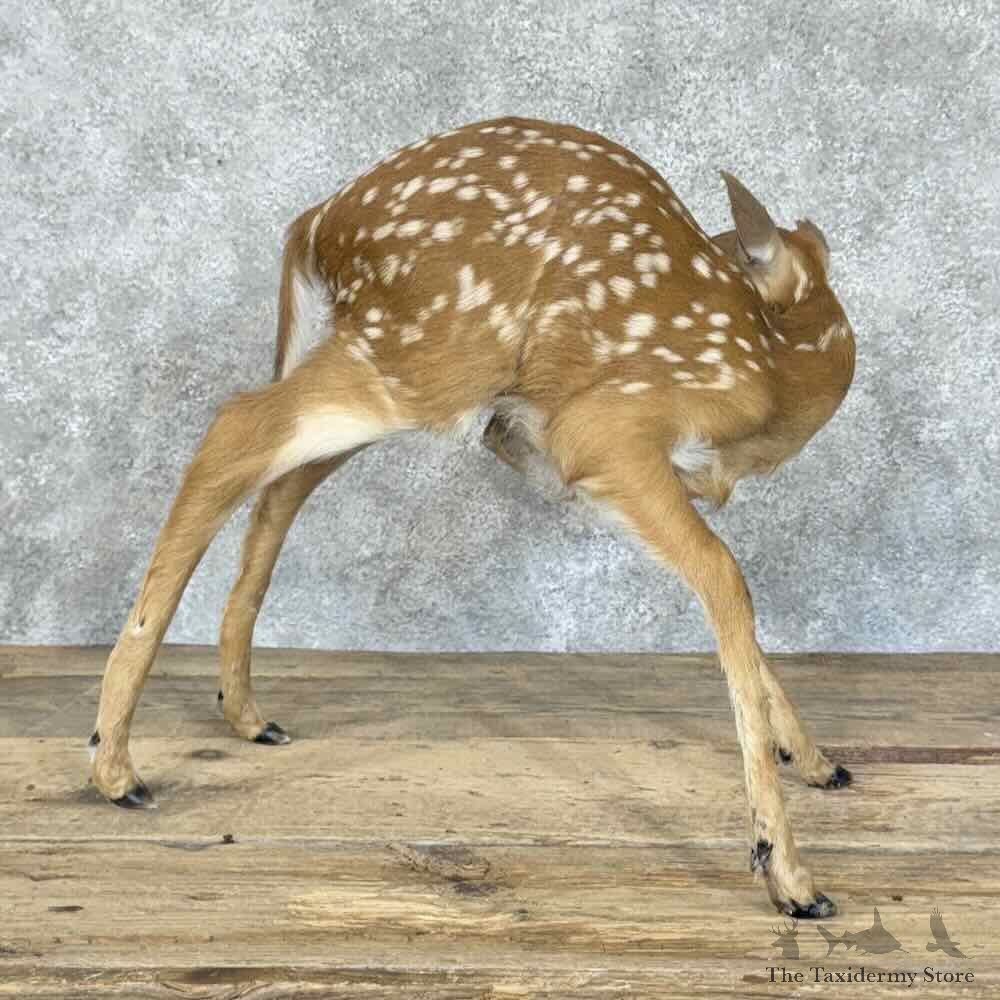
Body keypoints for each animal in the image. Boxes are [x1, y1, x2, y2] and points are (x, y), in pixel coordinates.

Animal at [88, 115, 856, 918]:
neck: (773, 372)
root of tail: (317, 223)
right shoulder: (605, 430)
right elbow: (725, 578)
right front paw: (789, 872)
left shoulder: (538, 448)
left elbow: (716, 584)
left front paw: (815, 760)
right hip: (428, 352)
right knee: (234, 431)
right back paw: (115, 766)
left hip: (402, 364)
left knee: (281, 480)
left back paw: (243, 713)